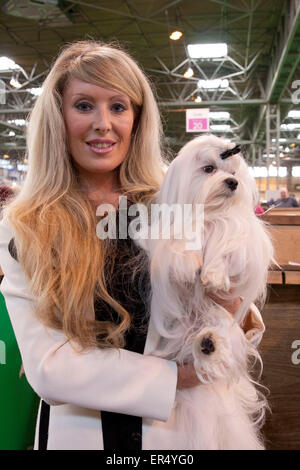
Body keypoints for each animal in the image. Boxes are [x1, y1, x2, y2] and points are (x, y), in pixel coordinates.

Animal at [139, 134, 274, 450]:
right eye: (209, 169)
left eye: (234, 173)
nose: (233, 183)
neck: (210, 215)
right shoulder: (170, 241)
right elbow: (180, 250)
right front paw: (191, 266)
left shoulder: (241, 238)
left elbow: (229, 250)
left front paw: (213, 274)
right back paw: (204, 344)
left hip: (223, 324)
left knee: (219, 338)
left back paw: (210, 343)